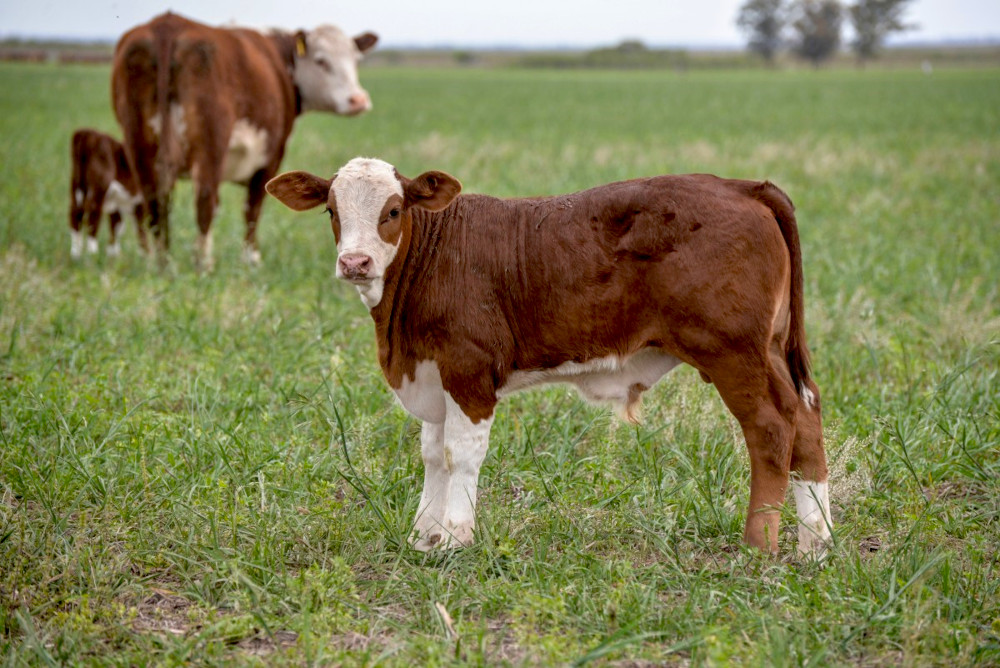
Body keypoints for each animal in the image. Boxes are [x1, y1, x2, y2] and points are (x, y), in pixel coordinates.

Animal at [69, 128, 147, 259]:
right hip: (99, 187)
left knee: (75, 214)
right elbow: (141, 228)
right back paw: (93, 255)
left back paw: (76, 255)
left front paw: (113, 255)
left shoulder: (118, 204)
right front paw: (147, 257)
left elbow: (117, 226)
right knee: (92, 214)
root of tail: (87, 133)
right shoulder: (141, 203)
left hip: (76, 185)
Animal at [111, 12, 377, 271]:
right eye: (322, 61)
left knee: (155, 202)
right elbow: (253, 207)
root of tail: (167, 25)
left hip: (138, 143)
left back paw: (162, 263)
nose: (358, 100)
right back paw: (203, 265)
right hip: (211, 143)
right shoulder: (271, 155)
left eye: (356, 60)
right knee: (204, 200)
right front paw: (251, 259)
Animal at [265, 157, 833, 557]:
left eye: (393, 211)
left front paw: (454, 539)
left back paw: (759, 545)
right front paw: (423, 536)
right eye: (332, 211)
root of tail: (741, 185)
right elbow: (431, 453)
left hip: (733, 352)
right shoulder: (430, 373)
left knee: (770, 429)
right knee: (806, 418)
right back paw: (817, 543)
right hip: (771, 349)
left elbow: (460, 454)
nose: (355, 262)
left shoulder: (468, 370)